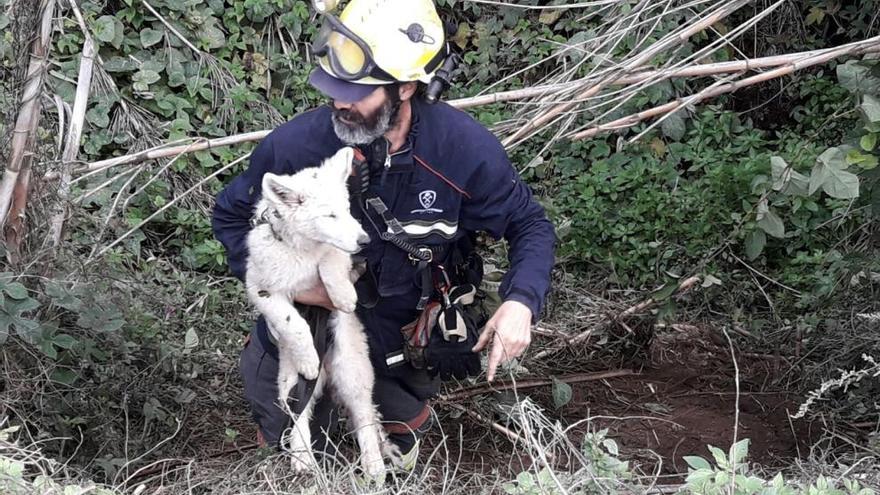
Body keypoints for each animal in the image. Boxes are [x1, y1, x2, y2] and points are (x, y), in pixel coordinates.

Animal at [246, 148, 386, 480]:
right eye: (329, 215)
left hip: (353, 368)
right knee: (299, 412)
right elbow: (292, 321)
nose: (365, 240)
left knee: (364, 414)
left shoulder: (339, 257)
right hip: (287, 380)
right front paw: (308, 356)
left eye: (347, 210)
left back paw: (373, 464)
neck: (300, 249)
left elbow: (331, 260)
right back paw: (302, 457)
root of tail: (329, 370)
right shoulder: (261, 288)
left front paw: (344, 296)